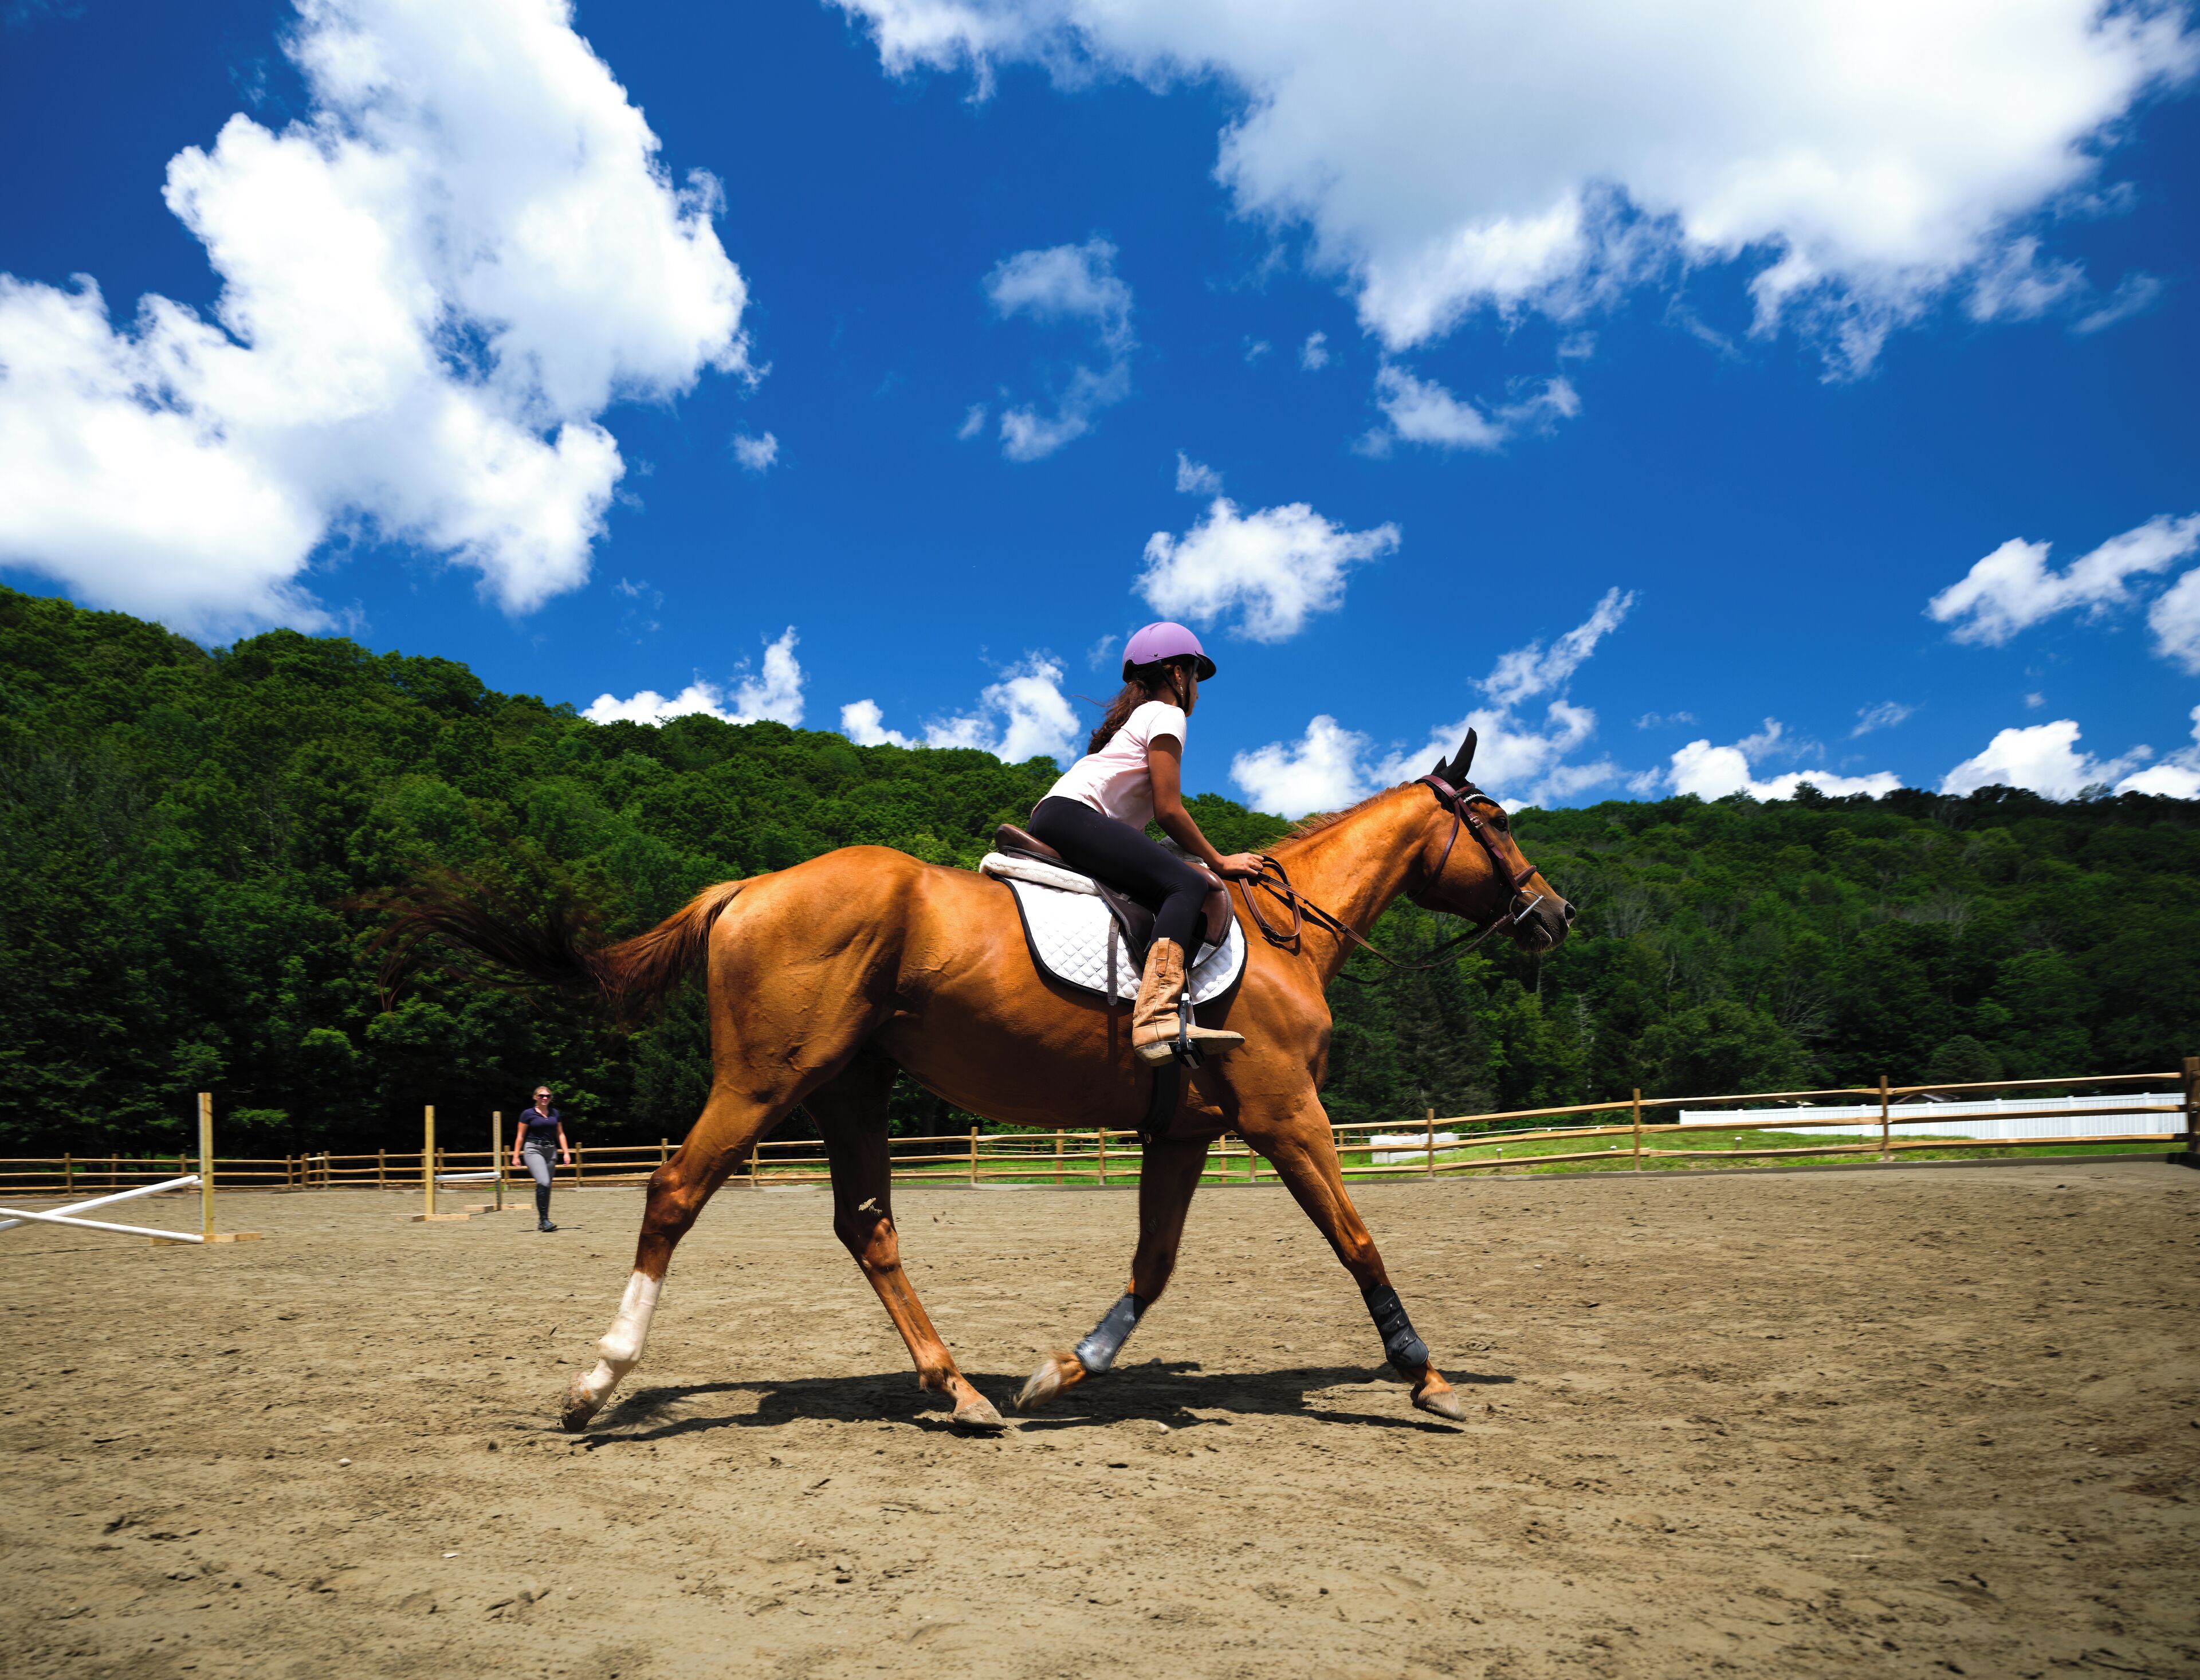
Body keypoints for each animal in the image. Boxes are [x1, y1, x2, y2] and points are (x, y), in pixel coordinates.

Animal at [377, 729, 1572, 1433]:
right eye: (1497, 822)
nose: (1554, 914)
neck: (1285, 934)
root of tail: (748, 887)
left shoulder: (1183, 1130)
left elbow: (1154, 1264)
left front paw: (1060, 1372)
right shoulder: (1286, 1112)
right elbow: (1358, 1237)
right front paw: (1424, 1375)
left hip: (851, 1086)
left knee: (868, 1226)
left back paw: (958, 1389)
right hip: (767, 1080)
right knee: (674, 1192)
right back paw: (597, 1382)